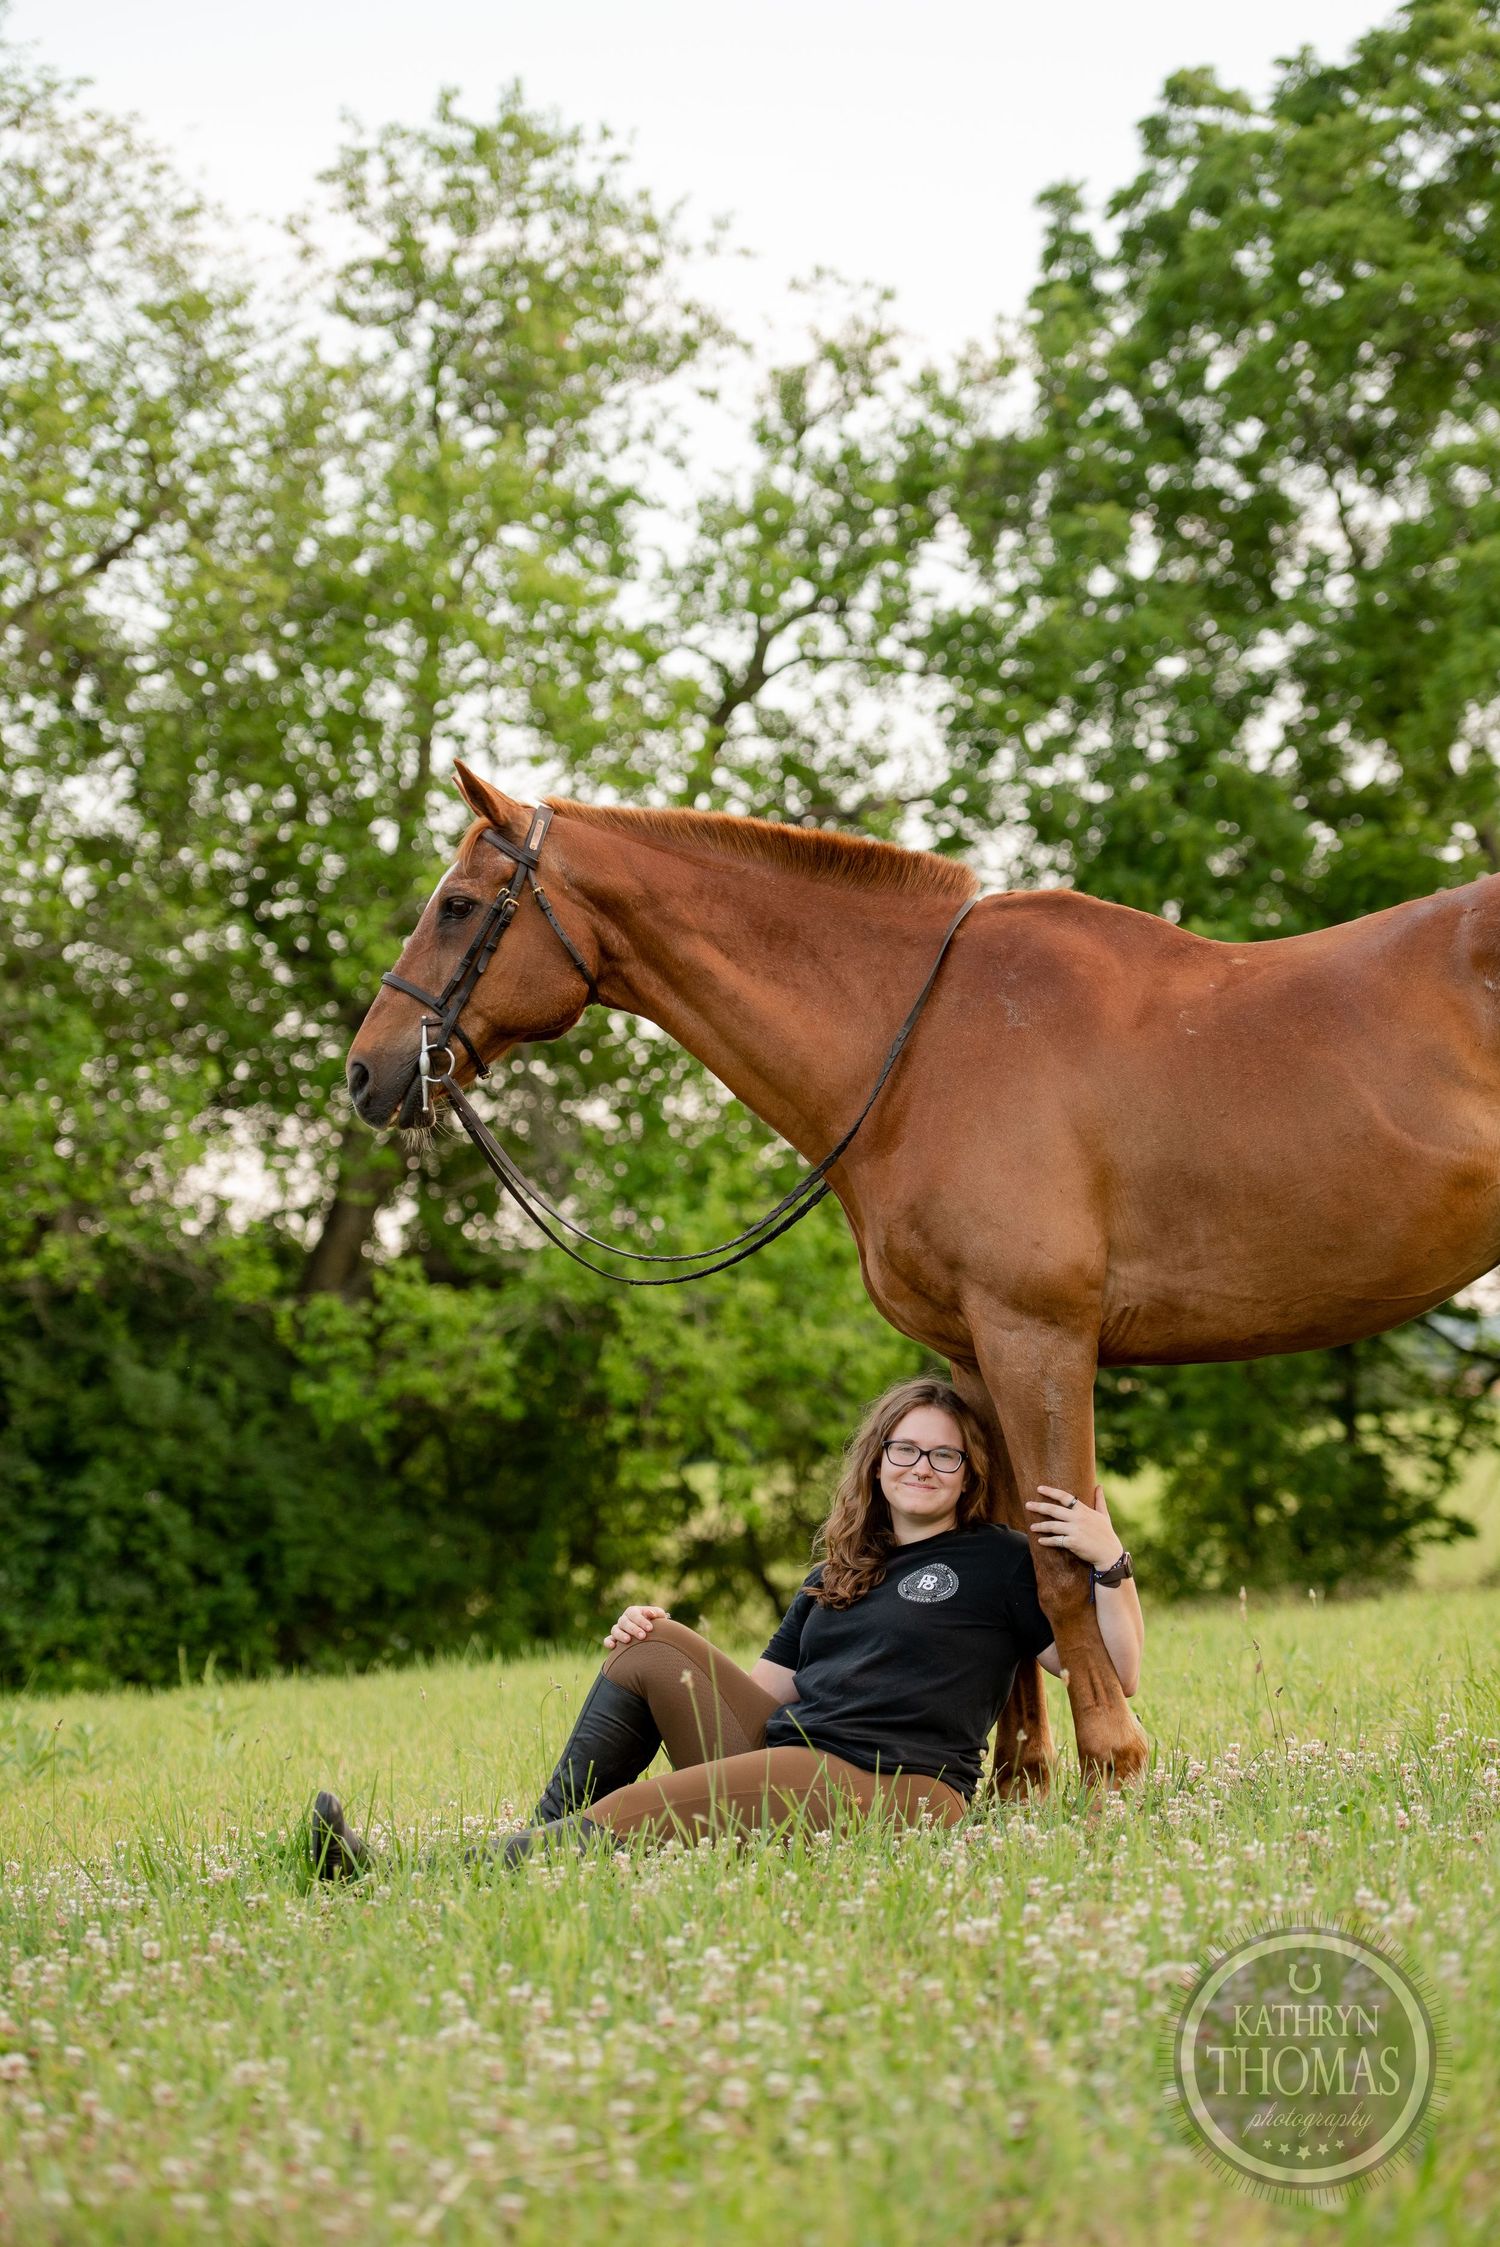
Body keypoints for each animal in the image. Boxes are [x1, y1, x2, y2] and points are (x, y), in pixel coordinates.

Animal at [346, 761, 1500, 1788]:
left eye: (457, 906)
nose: (367, 1072)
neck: (920, 1046)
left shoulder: (1037, 1335)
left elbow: (1058, 1557)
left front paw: (1113, 1765)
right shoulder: (971, 1348)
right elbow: (1004, 1542)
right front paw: (1023, 1779)